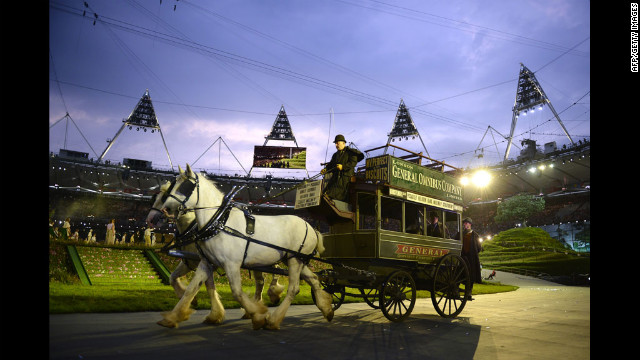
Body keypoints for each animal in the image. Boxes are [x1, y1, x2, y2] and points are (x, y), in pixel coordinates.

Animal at [146, 165, 336, 330]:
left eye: (186, 186)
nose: (157, 215)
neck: (218, 222)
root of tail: (311, 227)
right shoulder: (206, 262)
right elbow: (192, 289)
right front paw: (174, 317)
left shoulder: (231, 264)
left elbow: (237, 292)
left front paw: (258, 315)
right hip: (296, 260)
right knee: (314, 279)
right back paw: (326, 308)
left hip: (295, 260)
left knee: (293, 289)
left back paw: (274, 320)